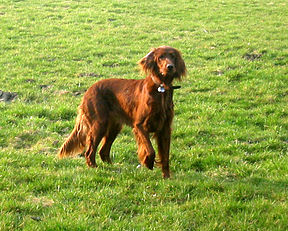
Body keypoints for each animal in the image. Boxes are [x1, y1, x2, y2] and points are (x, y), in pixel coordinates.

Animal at [58, 46, 187, 178]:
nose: (170, 67)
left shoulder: (165, 129)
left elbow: (165, 156)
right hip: (99, 124)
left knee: (103, 151)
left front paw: (166, 176)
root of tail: (88, 90)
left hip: (114, 127)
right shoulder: (139, 125)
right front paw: (148, 162)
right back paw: (95, 167)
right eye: (160, 57)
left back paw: (112, 167)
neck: (161, 88)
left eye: (173, 56)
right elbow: (150, 150)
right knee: (89, 151)